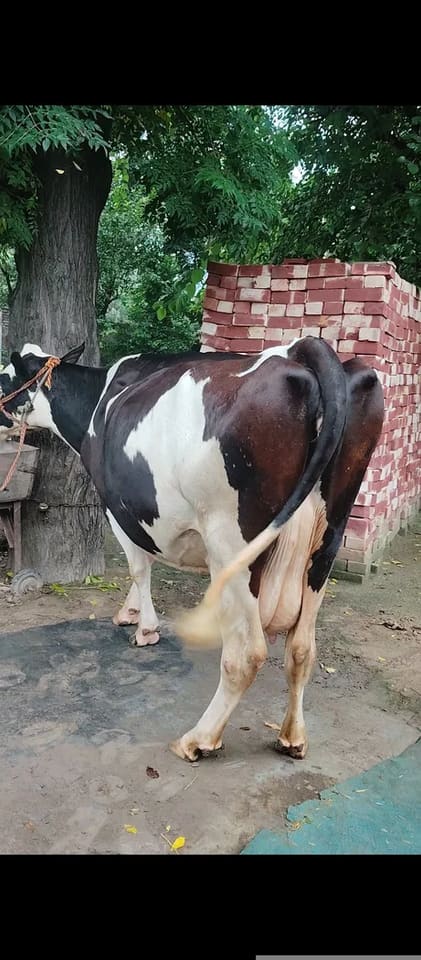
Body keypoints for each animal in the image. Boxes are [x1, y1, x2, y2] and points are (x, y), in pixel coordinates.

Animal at [0, 336, 384, 761]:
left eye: (4, 376)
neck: (97, 402)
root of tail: (304, 348)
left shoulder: (117, 505)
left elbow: (139, 564)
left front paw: (145, 627)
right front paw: (130, 613)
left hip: (232, 542)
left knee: (247, 652)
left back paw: (198, 738)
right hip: (327, 541)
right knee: (301, 649)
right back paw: (293, 737)